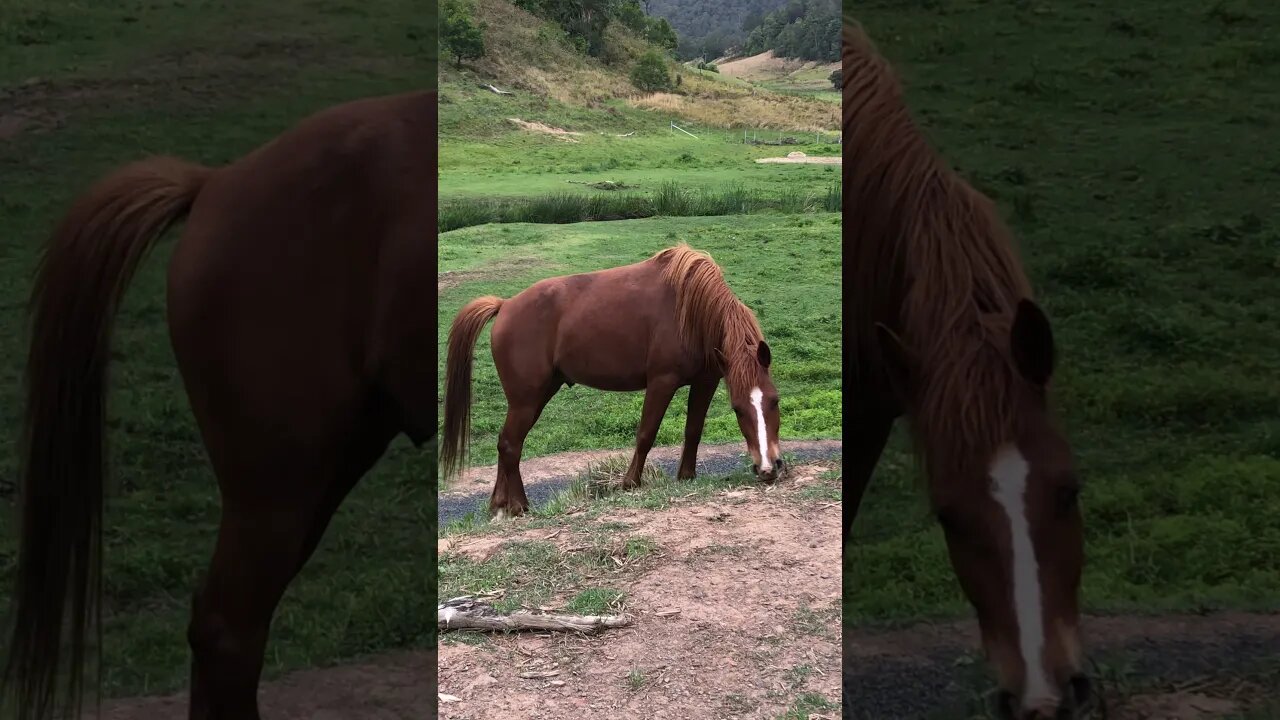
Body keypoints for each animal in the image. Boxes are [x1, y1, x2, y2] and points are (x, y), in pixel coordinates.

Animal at [440, 243, 778, 512]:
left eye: (774, 402)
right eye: (738, 409)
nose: (768, 468)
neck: (692, 310)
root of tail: (505, 305)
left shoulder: (706, 381)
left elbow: (693, 430)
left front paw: (686, 476)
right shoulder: (662, 381)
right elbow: (646, 433)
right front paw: (630, 482)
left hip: (537, 396)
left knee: (506, 443)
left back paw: (500, 504)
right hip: (526, 400)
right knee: (511, 445)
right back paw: (520, 506)